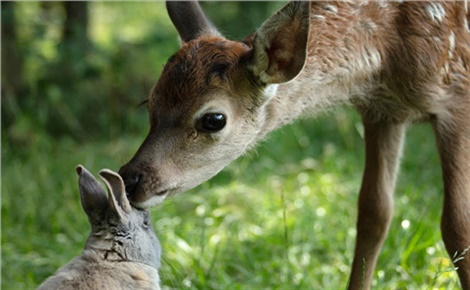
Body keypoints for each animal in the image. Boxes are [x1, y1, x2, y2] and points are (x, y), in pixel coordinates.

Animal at [118, 1, 470, 288]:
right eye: (149, 102)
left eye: (213, 119)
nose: (130, 179)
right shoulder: (382, 111)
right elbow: (374, 214)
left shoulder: (456, 97)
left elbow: (457, 225)